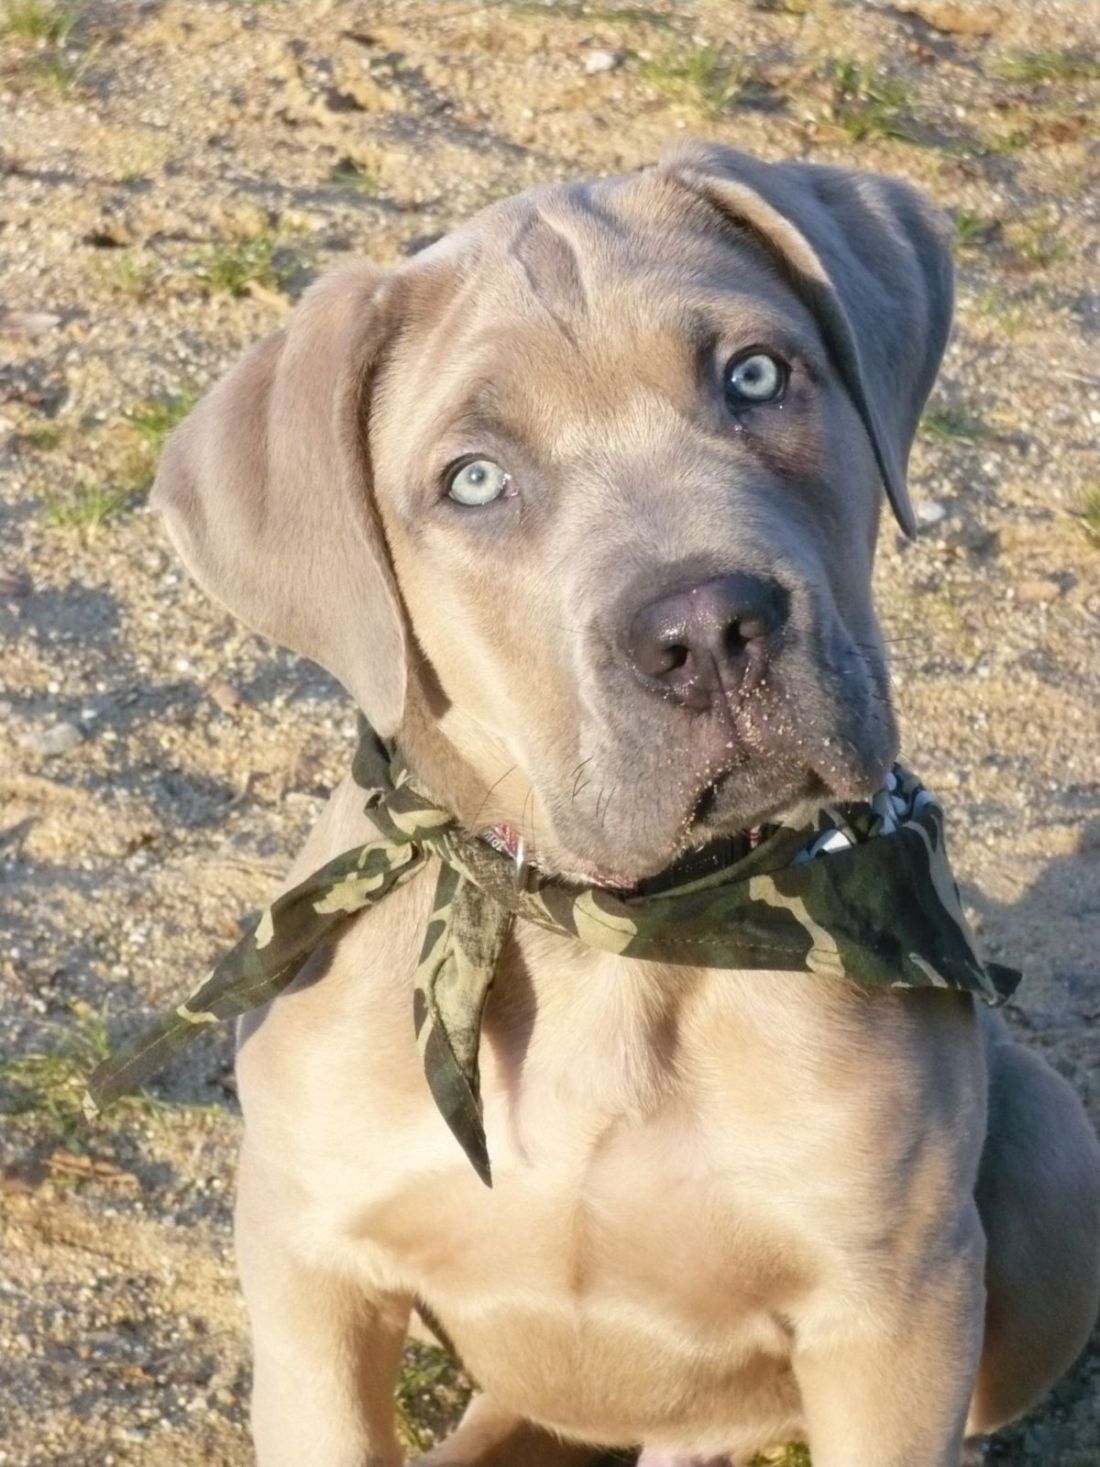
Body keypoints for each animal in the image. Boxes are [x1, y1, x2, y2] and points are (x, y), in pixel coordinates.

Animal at [152, 142, 1100, 1467]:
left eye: (755, 374)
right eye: (474, 481)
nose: (707, 628)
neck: (608, 937)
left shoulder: (892, 1313)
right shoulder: (311, 1282)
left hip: (1050, 1159)